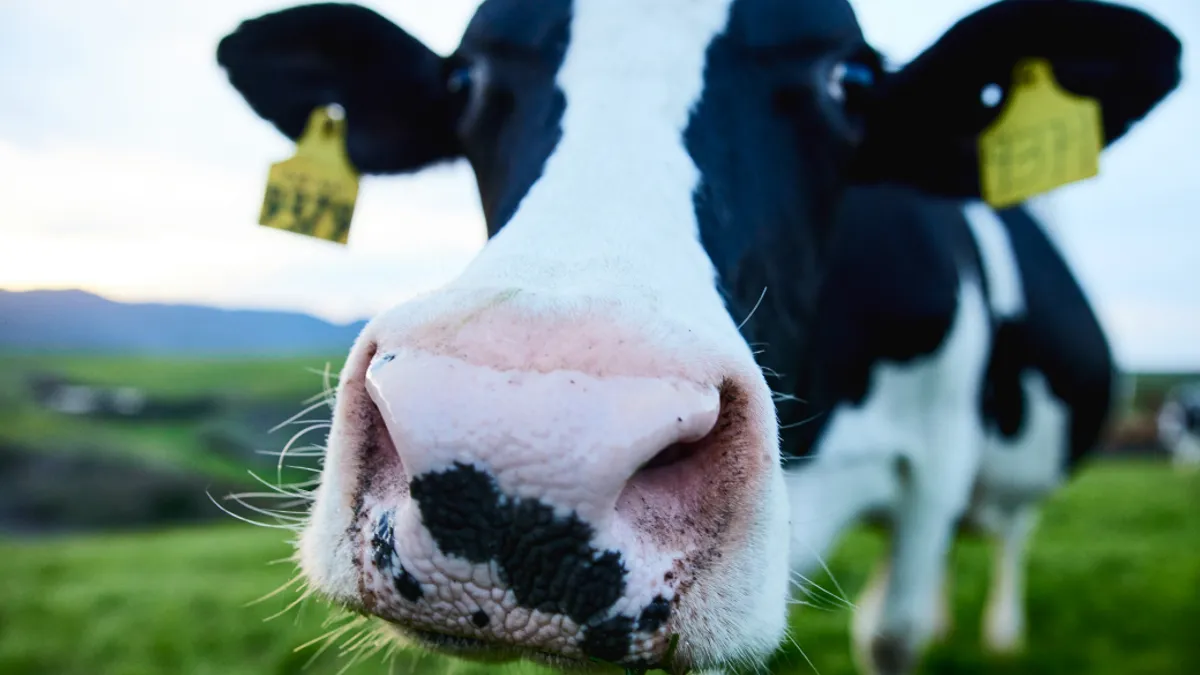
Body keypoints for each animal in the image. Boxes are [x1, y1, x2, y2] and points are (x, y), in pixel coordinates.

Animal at [213, 1, 1180, 672]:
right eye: (466, 82)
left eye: (849, 84)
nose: (522, 445)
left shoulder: (933, 460)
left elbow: (892, 629)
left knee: (1011, 526)